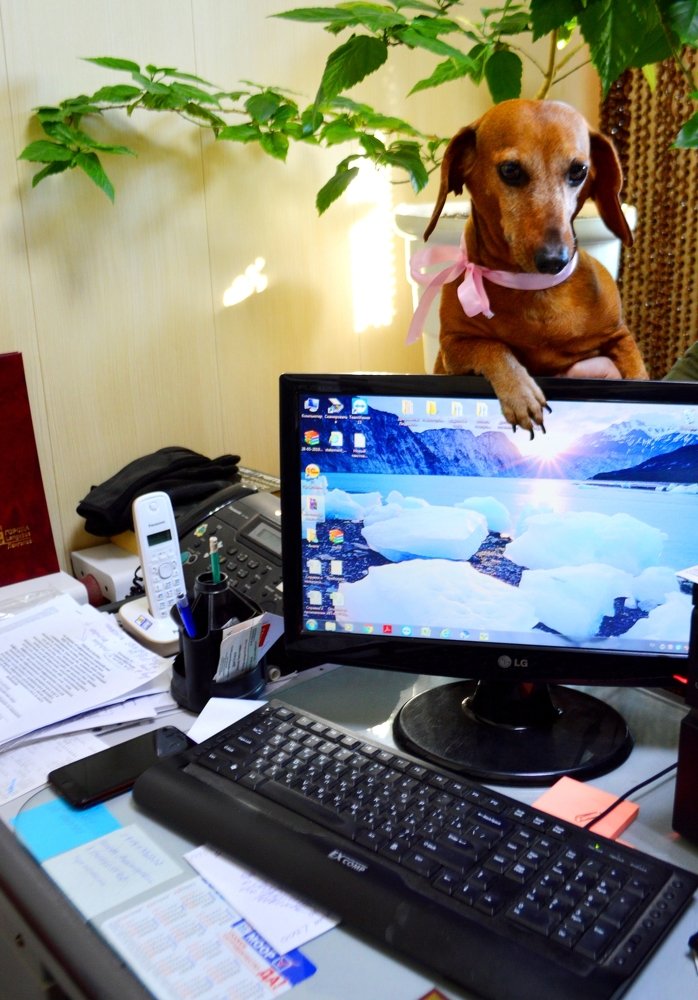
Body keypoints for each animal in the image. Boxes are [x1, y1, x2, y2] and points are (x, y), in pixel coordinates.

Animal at [420, 99, 648, 434]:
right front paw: (521, 393)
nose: (555, 259)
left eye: (579, 170)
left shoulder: (618, 336)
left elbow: (636, 369)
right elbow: (491, 347)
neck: (532, 288)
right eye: (510, 170)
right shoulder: (453, 346)